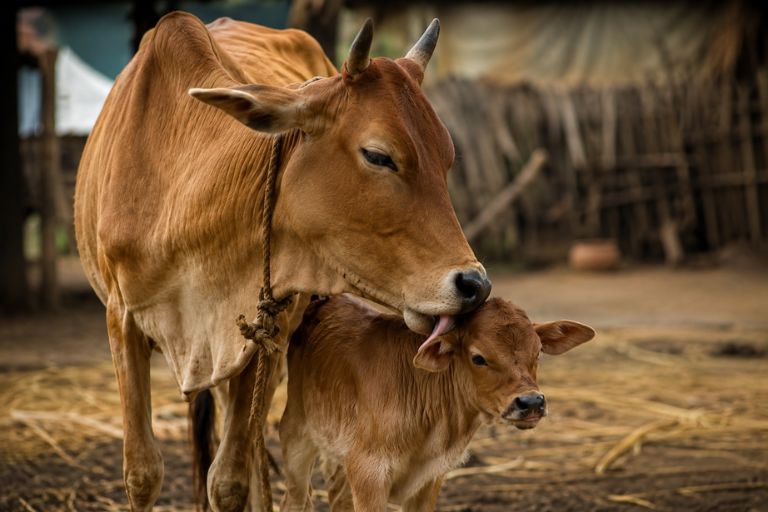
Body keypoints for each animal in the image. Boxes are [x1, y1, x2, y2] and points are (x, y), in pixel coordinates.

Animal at [74, 11, 492, 512]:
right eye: (378, 155)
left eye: (447, 159)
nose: (474, 285)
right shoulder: (122, 321)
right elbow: (141, 473)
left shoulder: (257, 334)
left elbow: (229, 481)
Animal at [279, 296, 595, 511]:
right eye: (478, 357)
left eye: (538, 351)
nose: (530, 402)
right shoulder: (368, 472)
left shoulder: (429, 479)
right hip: (296, 437)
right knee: (295, 498)